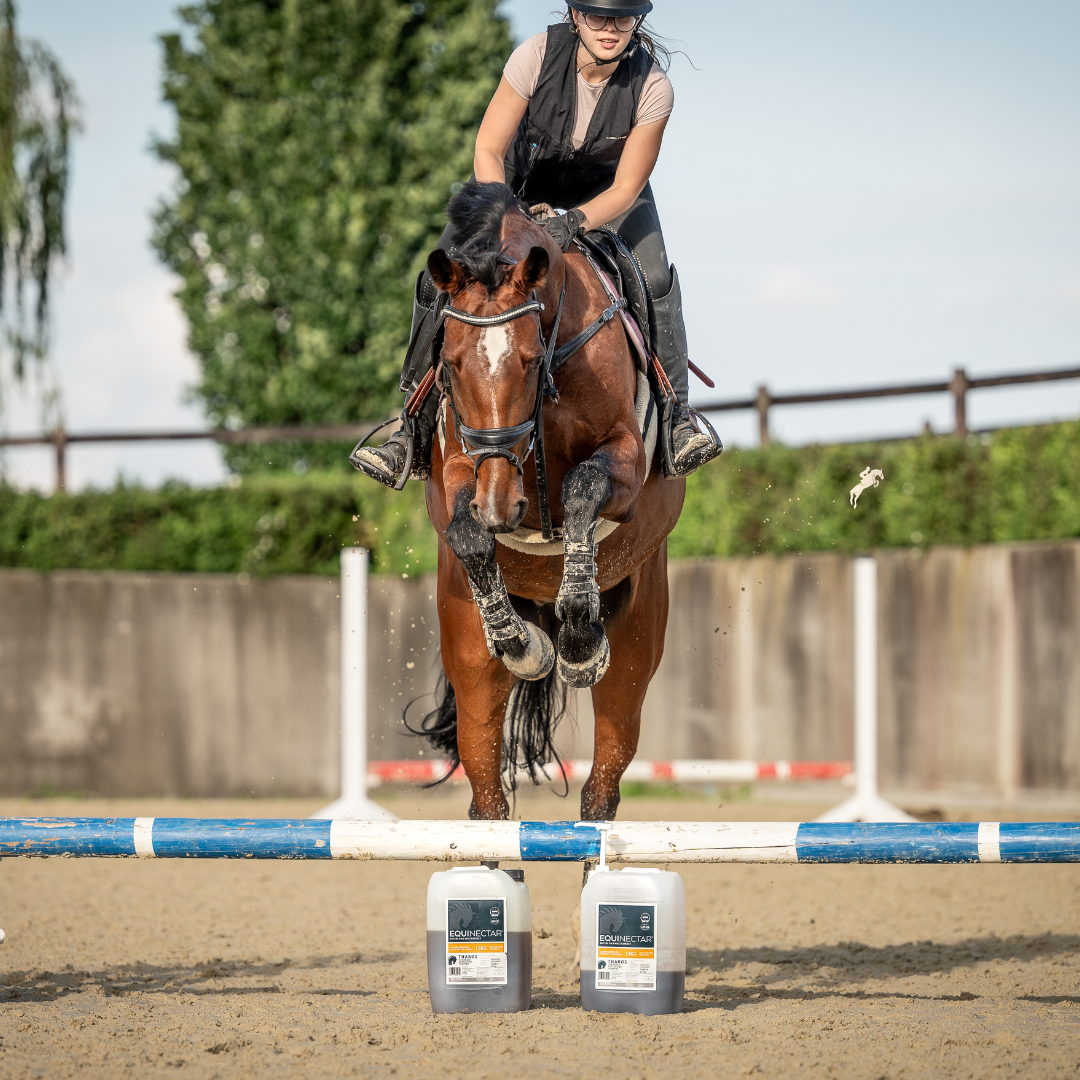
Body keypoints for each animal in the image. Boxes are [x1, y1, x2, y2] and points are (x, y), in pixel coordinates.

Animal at [415, 180, 685, 822]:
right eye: (451, 363)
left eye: (531, 360)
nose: (498, 506)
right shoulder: (456, 469)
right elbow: (467, 535)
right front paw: (518, 642)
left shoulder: (625, 456)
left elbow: (581, 489)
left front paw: (580, 634)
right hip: (469, 658)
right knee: (487, 789)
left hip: (635, 649)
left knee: (604, 780)